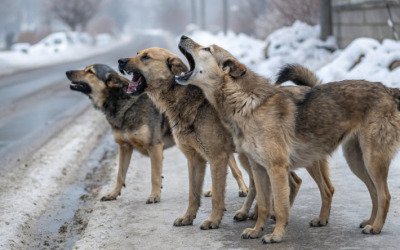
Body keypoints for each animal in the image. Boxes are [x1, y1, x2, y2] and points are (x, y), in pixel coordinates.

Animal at [117, 47, 308, 229]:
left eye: (146, 57)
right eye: (137, 54)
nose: (120, 61)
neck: (189, 103)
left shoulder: (217, 158)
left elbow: (217, 196)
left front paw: (213, 221)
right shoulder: (195, 160)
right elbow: (193, 194)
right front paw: (188, 218)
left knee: (293, 181)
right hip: (248, 158)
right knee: (267, 183)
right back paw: (251, 212)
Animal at [175, 36, 400, 243]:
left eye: (207, 48)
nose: (183, 37)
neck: (245, 102)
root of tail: (389, 90)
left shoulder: (275, 168)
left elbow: (281, 206)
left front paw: (276, 235)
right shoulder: (258, 168)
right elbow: (264, 205)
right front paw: (256, 231)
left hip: (372, 161)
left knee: (385, 195)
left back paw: (376, 227)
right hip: (356, 162)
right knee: (372, 192)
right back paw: (365, 221)